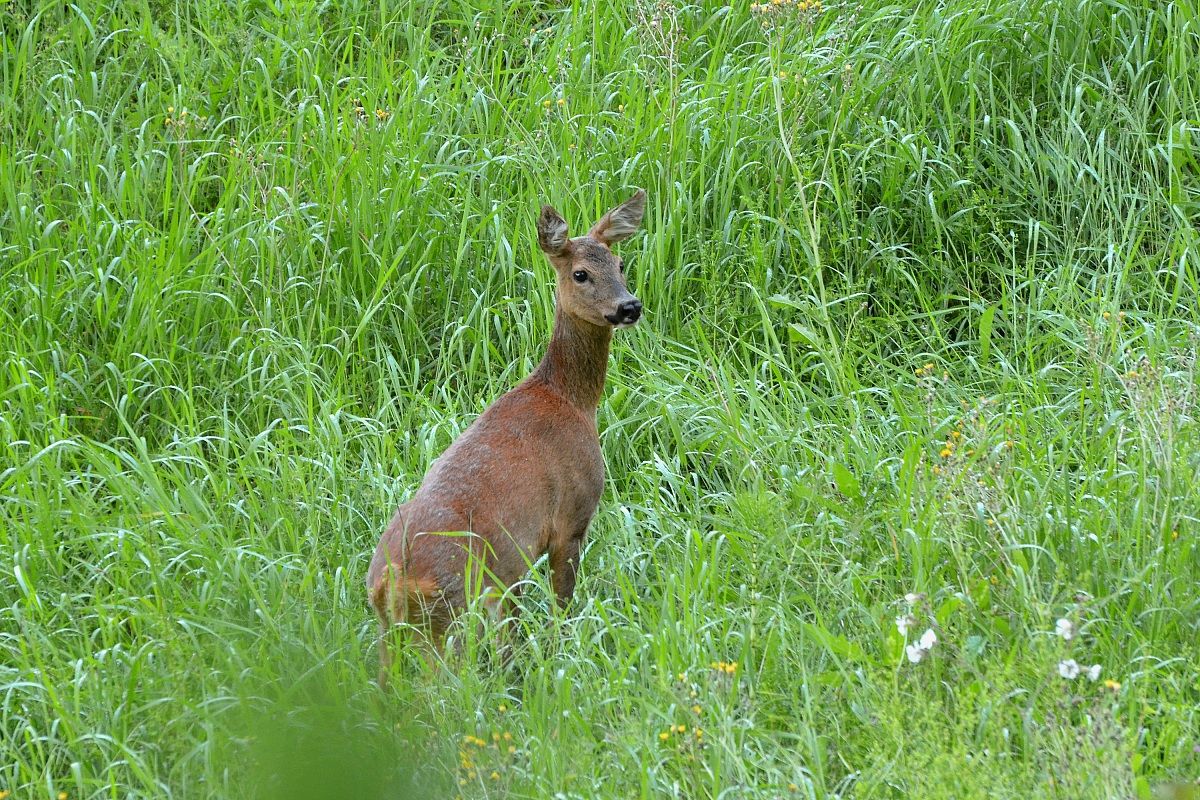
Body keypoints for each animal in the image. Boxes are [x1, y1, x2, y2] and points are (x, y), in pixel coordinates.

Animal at [367, 189, 647, 686]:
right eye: (581, 273)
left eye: (620, 262)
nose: (629, 306)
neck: (570, 399)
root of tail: (390, 583)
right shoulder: (571, 518)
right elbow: (560, 608)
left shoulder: (510, 575)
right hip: (450, 618)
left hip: (394, 633)